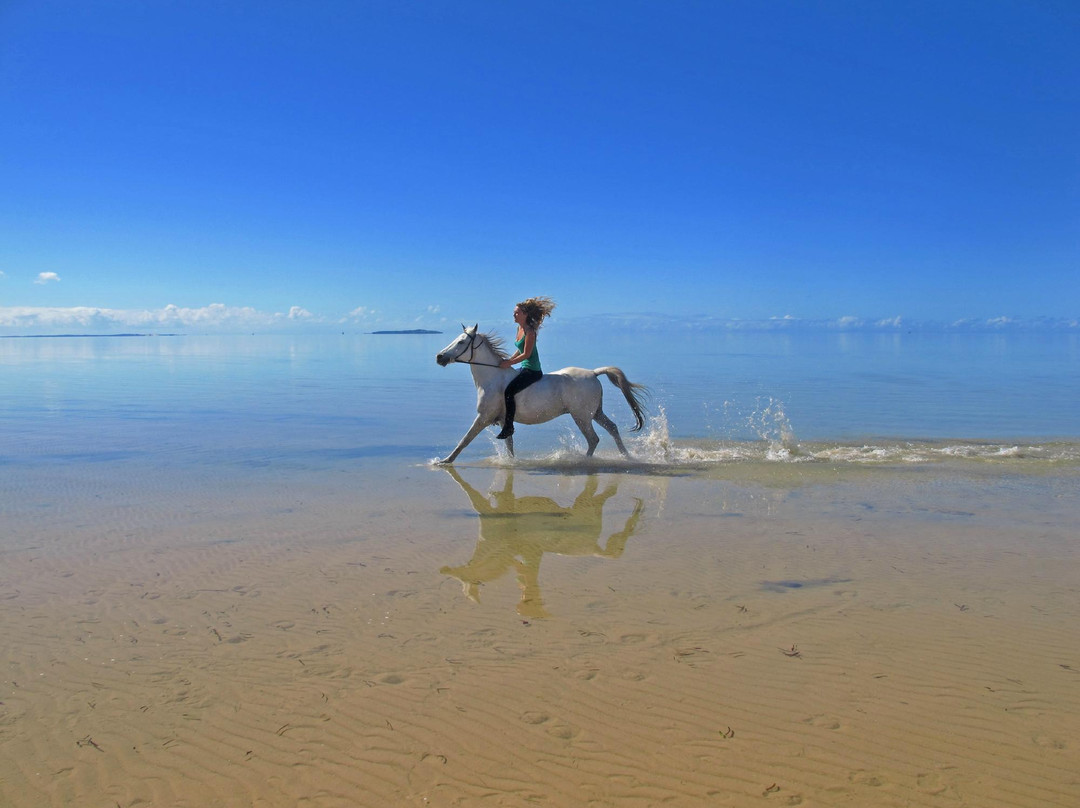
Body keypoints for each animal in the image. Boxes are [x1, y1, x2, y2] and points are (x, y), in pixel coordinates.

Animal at [432, 321, 648, 460]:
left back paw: (585, 461)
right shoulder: (503, 421)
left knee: (593, 439)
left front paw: (444, 461)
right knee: (612, 428)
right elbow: (509, 445)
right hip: (595, 412)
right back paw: (627, 456)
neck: (492, 378)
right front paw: (511, 463)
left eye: (461, 342)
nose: (439, 357)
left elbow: (465, 440)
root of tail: (594, 373)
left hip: (581, 416)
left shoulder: (484, 417)